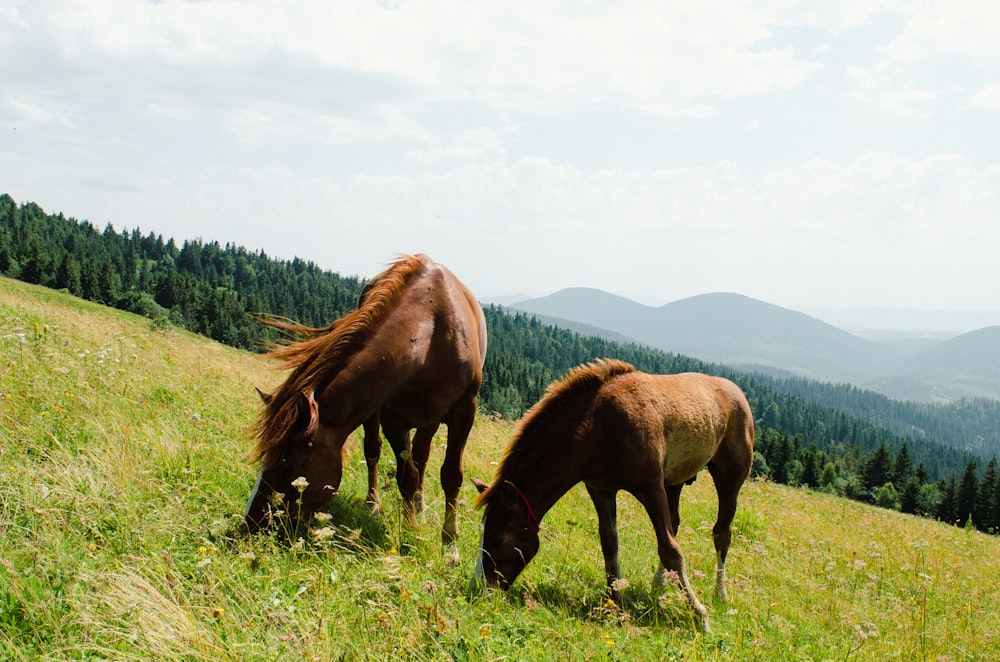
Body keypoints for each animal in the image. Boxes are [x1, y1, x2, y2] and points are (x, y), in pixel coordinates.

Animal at [246, 255, 488, 560]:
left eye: (289, 469)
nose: (252, 523)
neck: (428, 336)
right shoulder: (392, 417)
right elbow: (405, 476)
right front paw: (411, 530)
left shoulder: (464, 411)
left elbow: (451, 476)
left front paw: (449, 544)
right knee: (376, 452)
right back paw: (375, 503)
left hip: (431, 418)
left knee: (422, 455)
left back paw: (420, 506)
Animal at [472, 360, 752, 632]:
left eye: (497, 538)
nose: (482, 588)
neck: (599, 427)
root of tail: (736, 392)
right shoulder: (600, 488)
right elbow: (610, 542)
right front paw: (613, 600)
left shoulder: (651, 487)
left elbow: (670, 549)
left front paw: (700, 616)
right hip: (676, 481)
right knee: (675, 523)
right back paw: (659, 584)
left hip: (730, 479)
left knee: (721, 533)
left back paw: (720, 594)